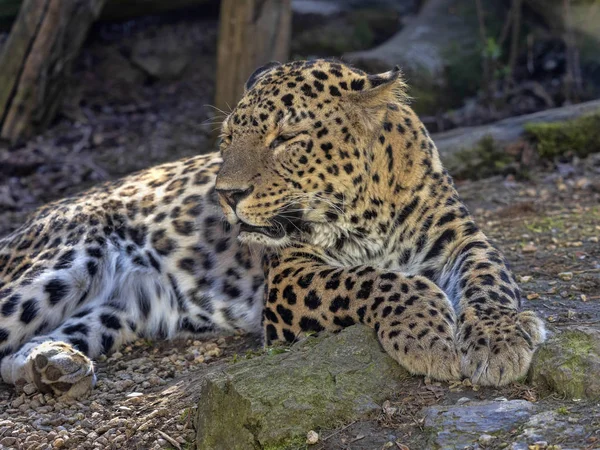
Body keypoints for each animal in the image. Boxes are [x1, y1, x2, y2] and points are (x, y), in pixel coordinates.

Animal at [0, 59, 544, 398]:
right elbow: (373, 280)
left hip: (119, 311)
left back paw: (55, 367)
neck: (368, 212)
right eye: (226, 139)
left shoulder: (462, 240)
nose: (226, 194)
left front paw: (500, 339)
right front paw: (426, 333)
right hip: (63, 259)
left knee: (15, 354)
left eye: (286, 138)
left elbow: (489, 278)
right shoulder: (290, 277)